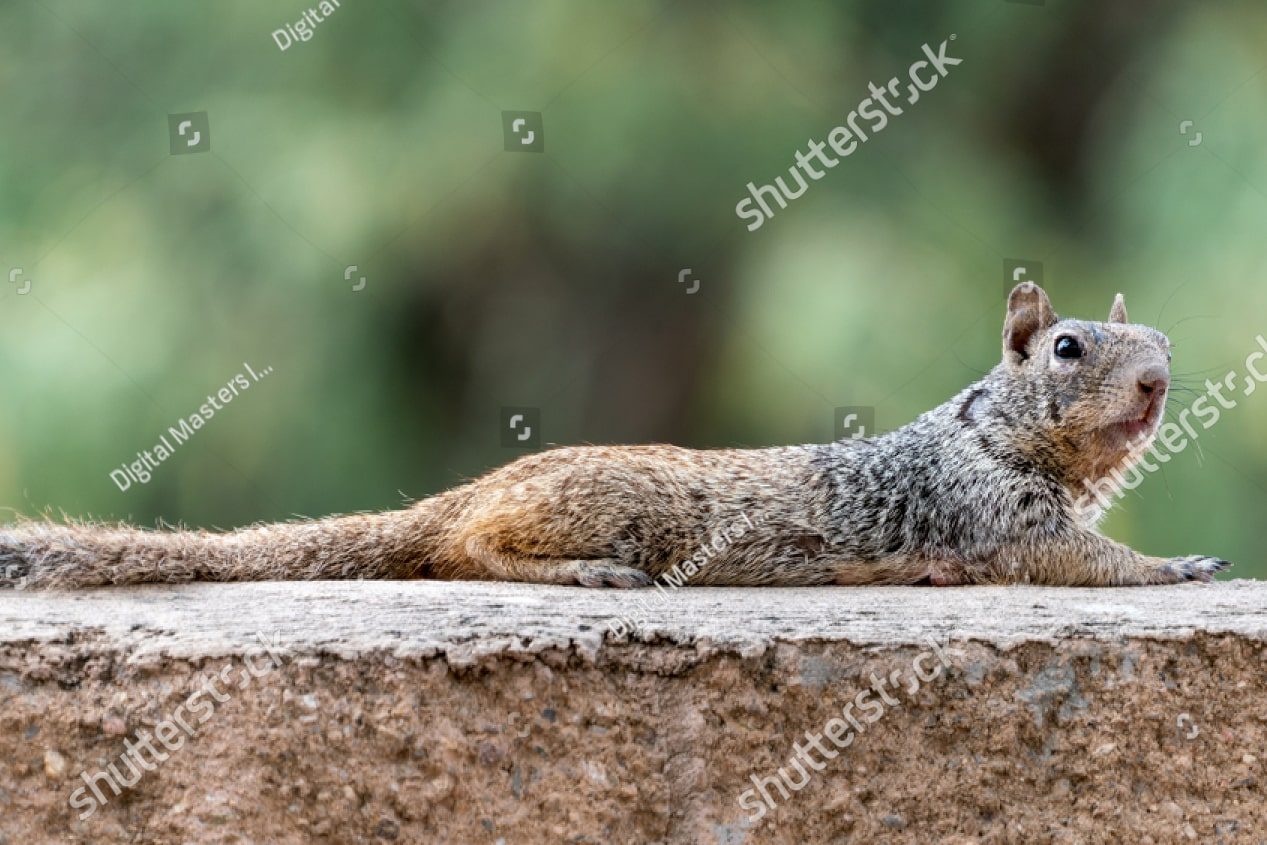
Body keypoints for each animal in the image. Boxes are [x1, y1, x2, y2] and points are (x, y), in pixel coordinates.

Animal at [0, 282, 1230, 590]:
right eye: (1066, 347)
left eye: (1164, 338)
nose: (1161, 381)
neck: (986, 431)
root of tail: (466, 487)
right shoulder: (998, 516)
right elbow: (1083, 557)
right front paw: (1175, 562)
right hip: (595, 510)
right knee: (461, 551)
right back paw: (581, 572)